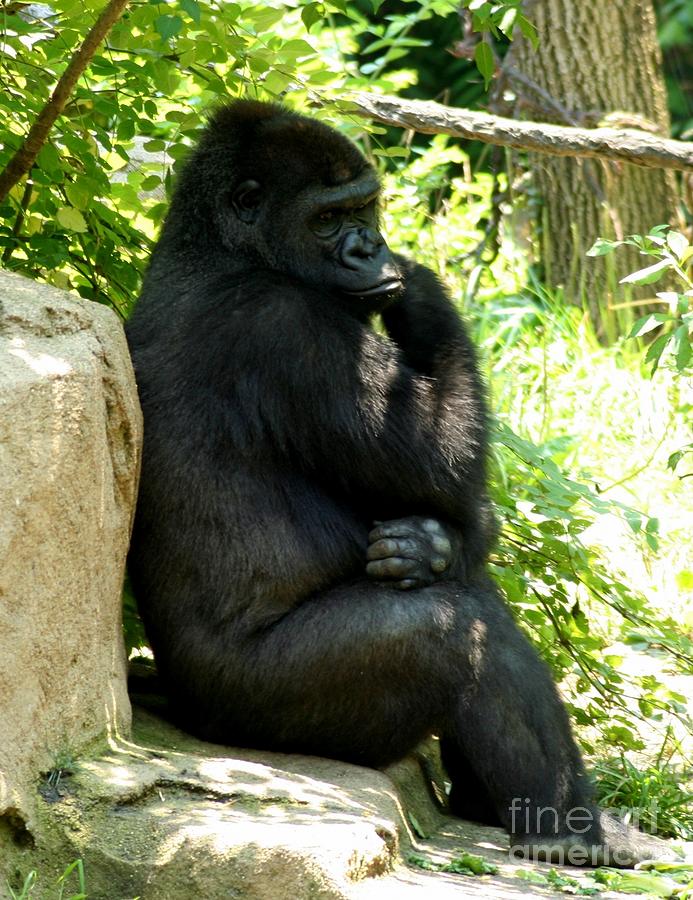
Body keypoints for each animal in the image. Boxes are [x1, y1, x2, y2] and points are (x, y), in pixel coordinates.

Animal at [124, 102, 664, 868]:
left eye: (365, 207)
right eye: (328, 219)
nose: (370, 247)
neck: (222, 251)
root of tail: (183, 708)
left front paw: (432, 545)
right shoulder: (288, 326)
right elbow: (451, 468)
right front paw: (426, 289)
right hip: (258, 711)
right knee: (456, 631)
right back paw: (567, 829)